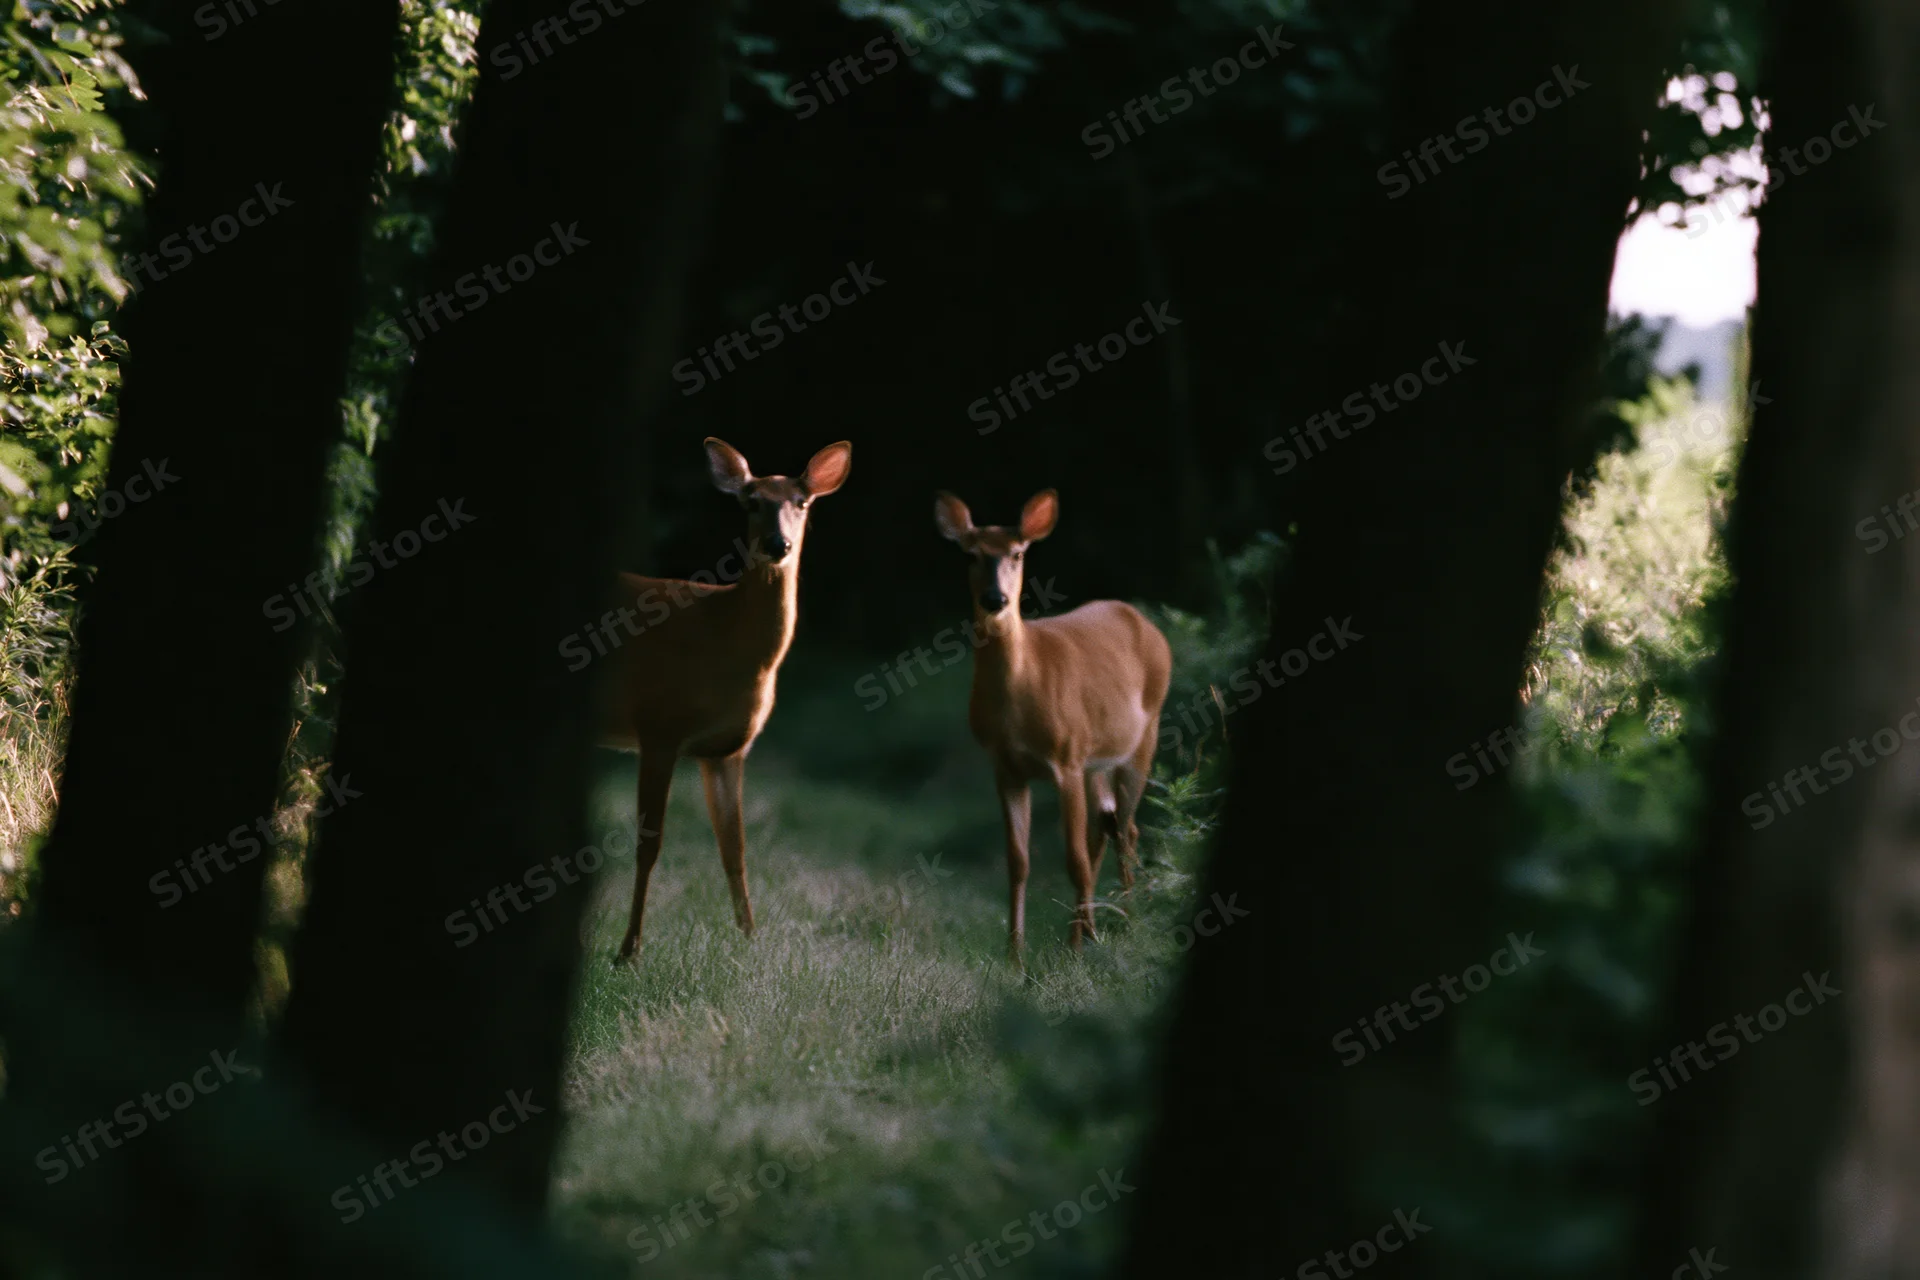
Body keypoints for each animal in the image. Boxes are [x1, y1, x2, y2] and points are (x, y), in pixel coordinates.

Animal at [605, 437, 852, 963]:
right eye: (750, 501)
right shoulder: (658, 726)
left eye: (802, 502)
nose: (778, 545)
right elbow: (648, 845)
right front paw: (628, 950)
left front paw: (751, 941)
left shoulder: (725, 750)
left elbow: (734, 849)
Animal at [934, 489, 1172, 965]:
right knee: (1106, 825)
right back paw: (1092, 927)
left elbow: (1073, 858)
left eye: (1017, 553)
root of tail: (1143, 621)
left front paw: (1079, 947)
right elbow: (1018, 860)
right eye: (970, 554)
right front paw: (1015, 951)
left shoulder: (1067, 757)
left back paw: (1125, 921)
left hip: (1141, 739)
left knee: (1127, 829)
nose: (995, 598)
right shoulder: (1006, 768)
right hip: (1097, 761)